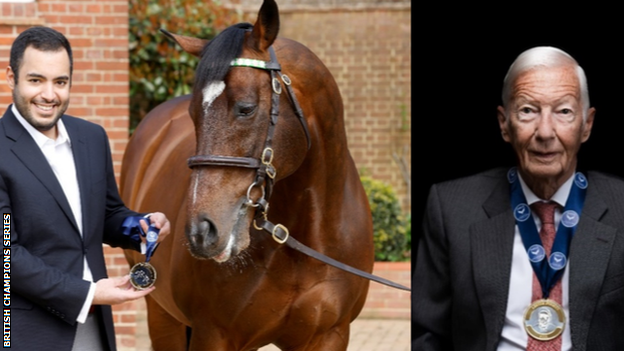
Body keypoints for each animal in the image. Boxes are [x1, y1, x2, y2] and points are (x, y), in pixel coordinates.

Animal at [120, 1, 372, 350]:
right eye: (193, 114)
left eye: (246, 108)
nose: (201, 232)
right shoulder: (213, 334)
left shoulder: (331, 335)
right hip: (161, 316)